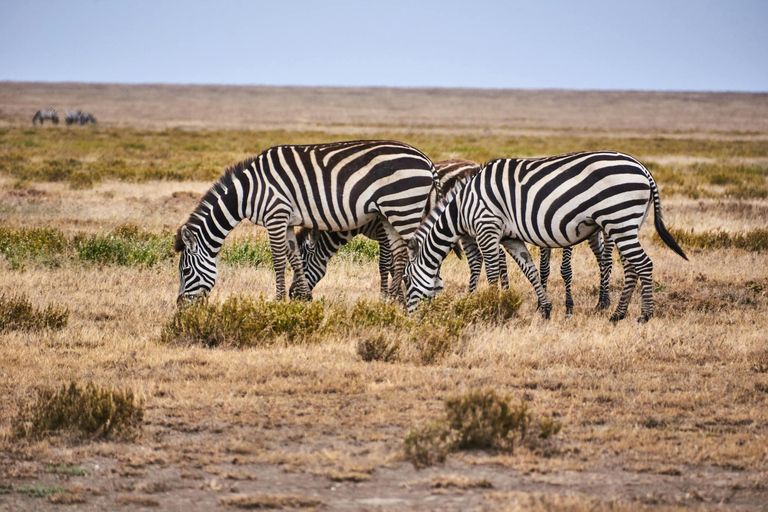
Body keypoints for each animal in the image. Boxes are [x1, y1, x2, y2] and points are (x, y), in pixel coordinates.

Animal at [175, 139, 438, 304]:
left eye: (185, 271)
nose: (180, 306)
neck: (247, 192)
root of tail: (426, 160)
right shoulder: (289, 221)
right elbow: (295, 257)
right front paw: (302, 298)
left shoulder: (275, 215)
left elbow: (278, 260)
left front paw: (278, 302)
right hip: (390, 214)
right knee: (401, 254)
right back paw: (393, 302)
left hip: (403, 207)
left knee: (414, 253)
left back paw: (408, 300)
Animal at [404, 150, 688, 322]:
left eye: (406, 279)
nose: (406, 315)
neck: (463, 207)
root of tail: (642, 168)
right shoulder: (510, 237)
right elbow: (529, 270)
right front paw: (546, 309)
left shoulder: (487, 228)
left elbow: (492, 272)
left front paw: (489, 307)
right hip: (627, 224)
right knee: (631, 267)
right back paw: (617, 314)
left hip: (619, 219)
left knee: (644, 264)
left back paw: (644, 315)